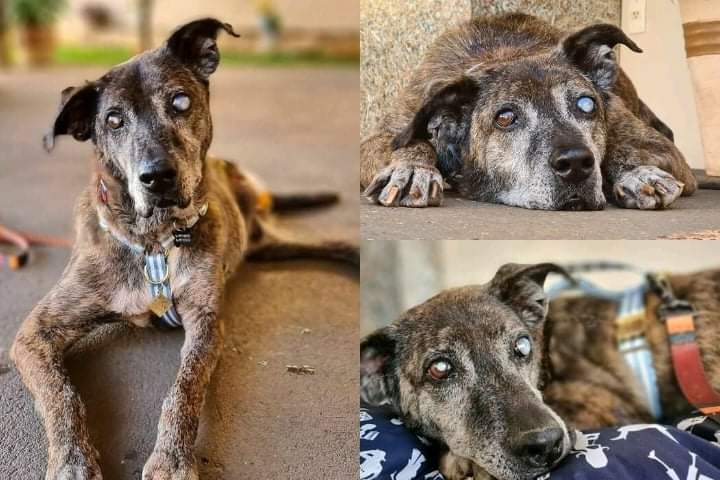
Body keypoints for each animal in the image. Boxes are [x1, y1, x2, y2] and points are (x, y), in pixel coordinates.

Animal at [10, 18, 358, 480]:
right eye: (113, 120)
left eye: (180, 101)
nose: (157, 177)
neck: (153, 242)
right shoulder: (35, 333)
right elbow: (61, 395)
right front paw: (72, 463)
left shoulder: (206, 321)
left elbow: (185, 388)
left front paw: (171, 460)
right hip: (265, 247)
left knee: (334, 243)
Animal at [360, 14, 696, 209]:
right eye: (505, 118)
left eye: (586, 104)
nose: (576, 162)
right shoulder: (383, 136)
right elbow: (411, 143)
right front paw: (412, 169)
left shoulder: (662, 150)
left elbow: (621, 150)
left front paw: (637, 174)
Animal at [362, 264, 720, 478]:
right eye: (439, 369)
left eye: (522, 346)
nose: (546, 445)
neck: (548, 356)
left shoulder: (608, 410)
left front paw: (462, 461)